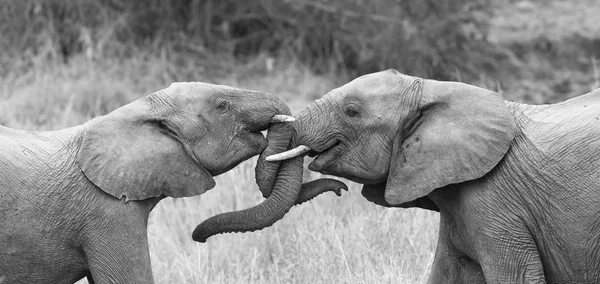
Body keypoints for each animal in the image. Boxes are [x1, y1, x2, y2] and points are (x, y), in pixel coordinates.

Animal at [268, 69, 600, 284]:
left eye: (351, 111)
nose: (339, 190)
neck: (434, 89)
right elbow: (446, 273)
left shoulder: (497, 204)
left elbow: (516, 276)